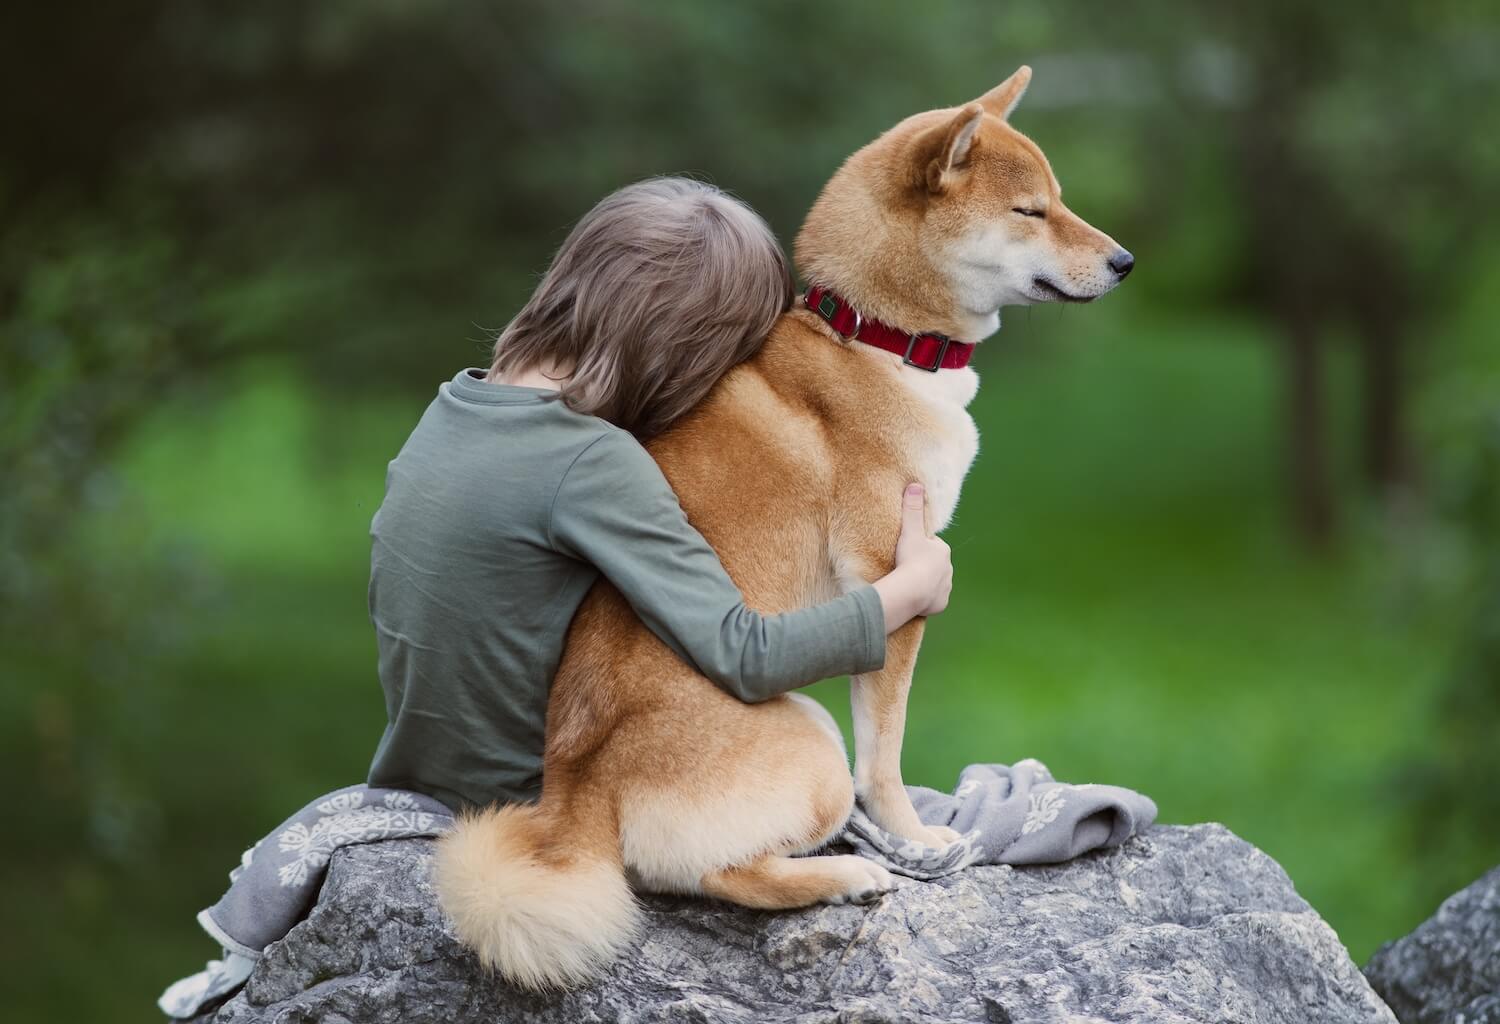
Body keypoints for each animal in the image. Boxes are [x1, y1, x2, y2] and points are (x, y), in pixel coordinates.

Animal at [429, 65, 1128, 995]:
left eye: (1060, 201)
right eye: (1031, 211)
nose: (1125, 262)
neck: (875, 338)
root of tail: (575, 798)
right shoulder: (887, 581)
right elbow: (885, 755)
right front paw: (911, 834)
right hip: (810, 737)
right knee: (724, 875)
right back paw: (848, 871)